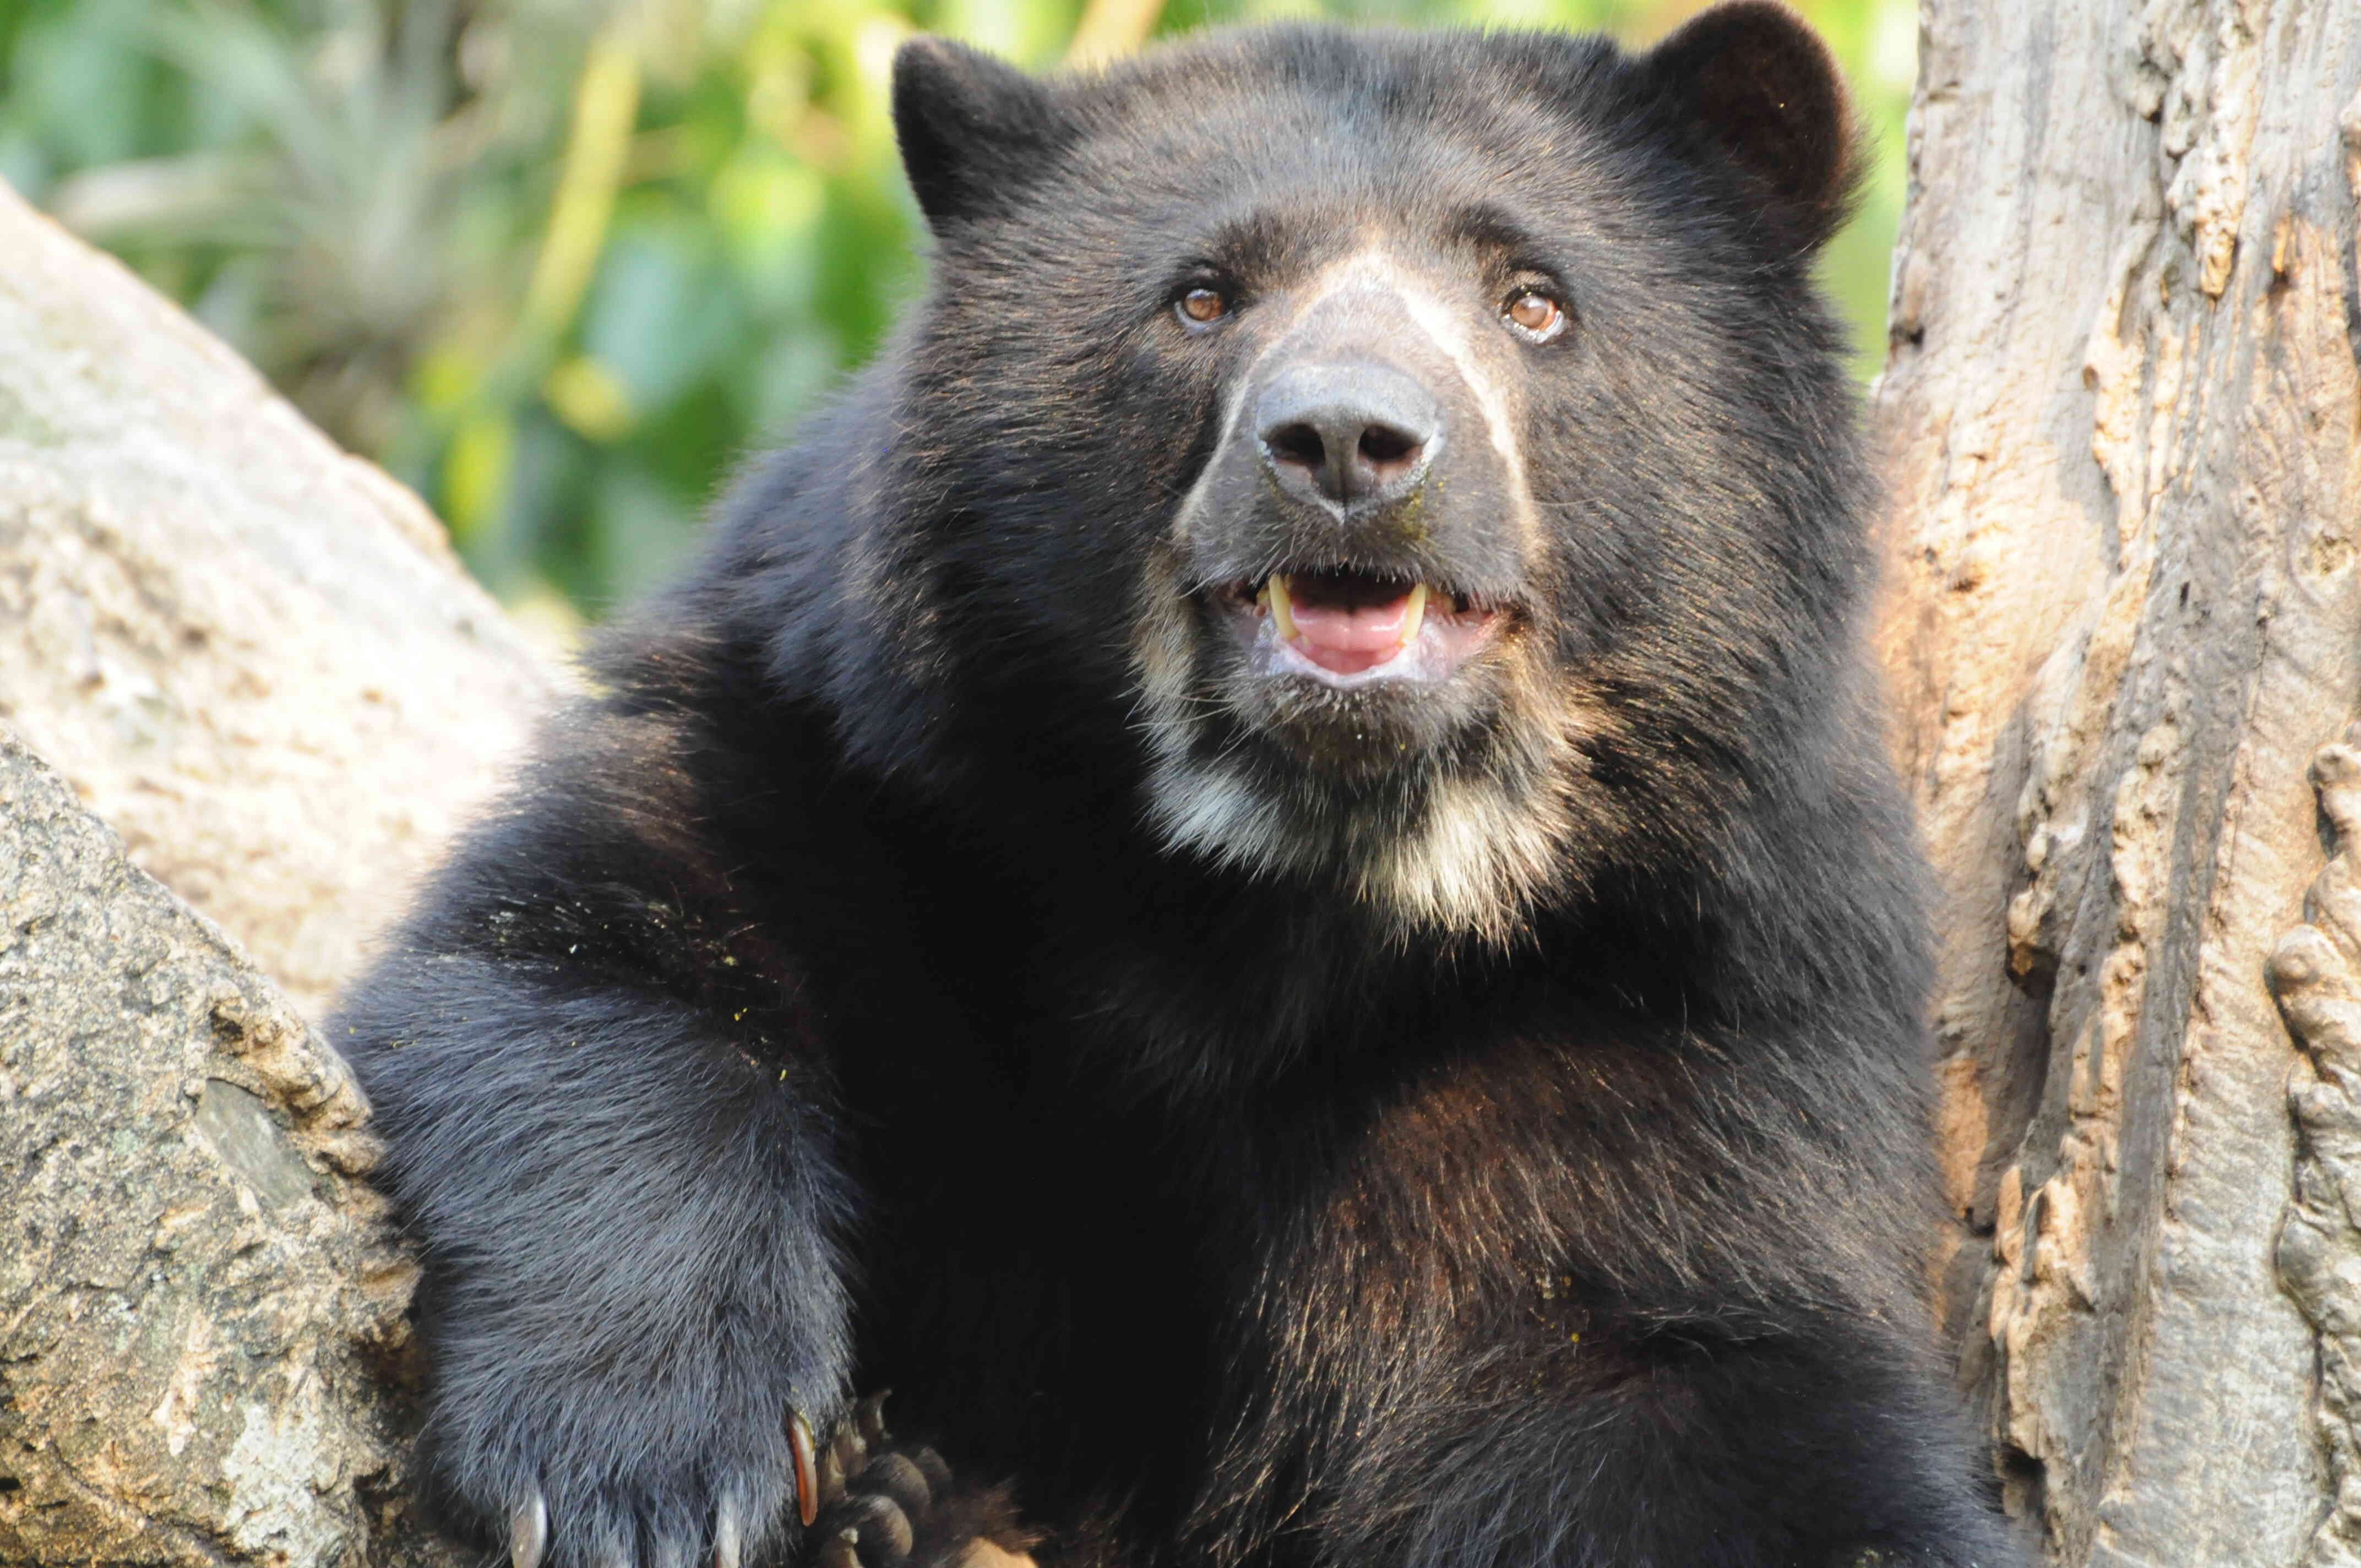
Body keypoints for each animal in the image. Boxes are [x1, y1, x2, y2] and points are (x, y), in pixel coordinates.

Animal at [332, 7, 2024, 1568]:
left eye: (1534, 300)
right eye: (1201, 296)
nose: (1344, 445)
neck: (1289, 890)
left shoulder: (1674, 994)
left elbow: (1680, 1372)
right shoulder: (856, 760)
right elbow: (604, 941)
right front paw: (641, 1467)